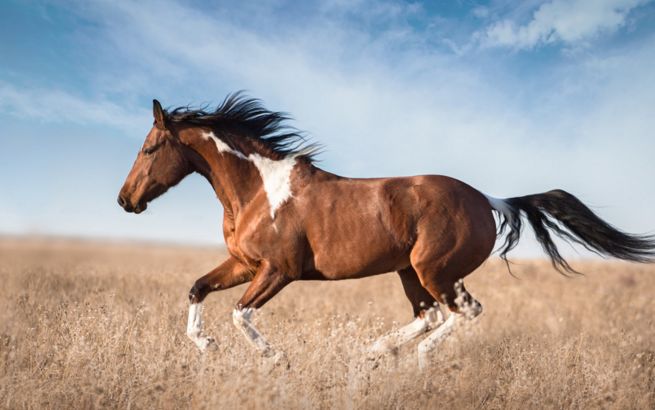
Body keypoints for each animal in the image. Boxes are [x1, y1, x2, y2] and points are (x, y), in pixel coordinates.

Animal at [118, 94, 655, 366]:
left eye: (149, 148)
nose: (125, 201)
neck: (258, 190)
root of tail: (488, 200)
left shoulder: (278, 270)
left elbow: (240, 314)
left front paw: (275, 358)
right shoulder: (244, 264)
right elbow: (197, 289)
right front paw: (205, 345)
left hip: (435, 270)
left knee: (463, 312)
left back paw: (417, 360)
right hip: (409, 272)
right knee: (430, 315)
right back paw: (374, 350)